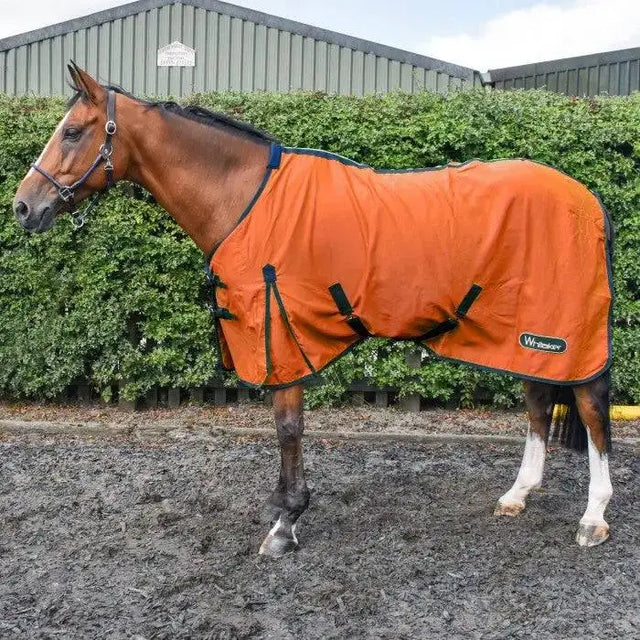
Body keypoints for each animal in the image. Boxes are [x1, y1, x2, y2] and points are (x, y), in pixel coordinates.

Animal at [13, 63, 614, 556]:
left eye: (72, 131)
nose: (23, 207)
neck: (245, 198)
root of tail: (588, 198)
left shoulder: (279, 333)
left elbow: (288, 428)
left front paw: (286, 523)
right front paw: (284, 510)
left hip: (564, 332)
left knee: (590, 409)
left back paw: (593, 517)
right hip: (524, 333)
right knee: (539, 404)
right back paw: (518, 495)